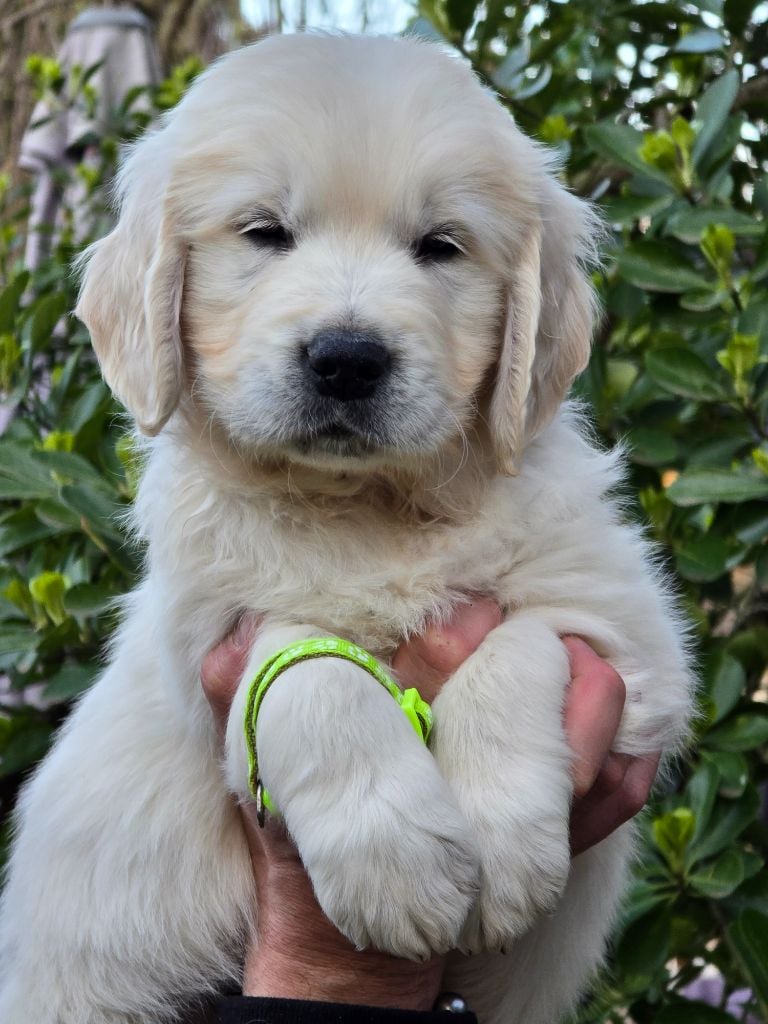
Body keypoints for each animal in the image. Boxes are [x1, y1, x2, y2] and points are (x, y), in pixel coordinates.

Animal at [0, 33, 693, 1024]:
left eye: (441, 246)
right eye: (263, 232)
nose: (347, 359)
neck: (365, 509)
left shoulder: (634, 635)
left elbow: (524, 642)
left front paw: (498, 840)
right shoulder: (207, 645)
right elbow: (307, 673)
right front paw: (396, 862)